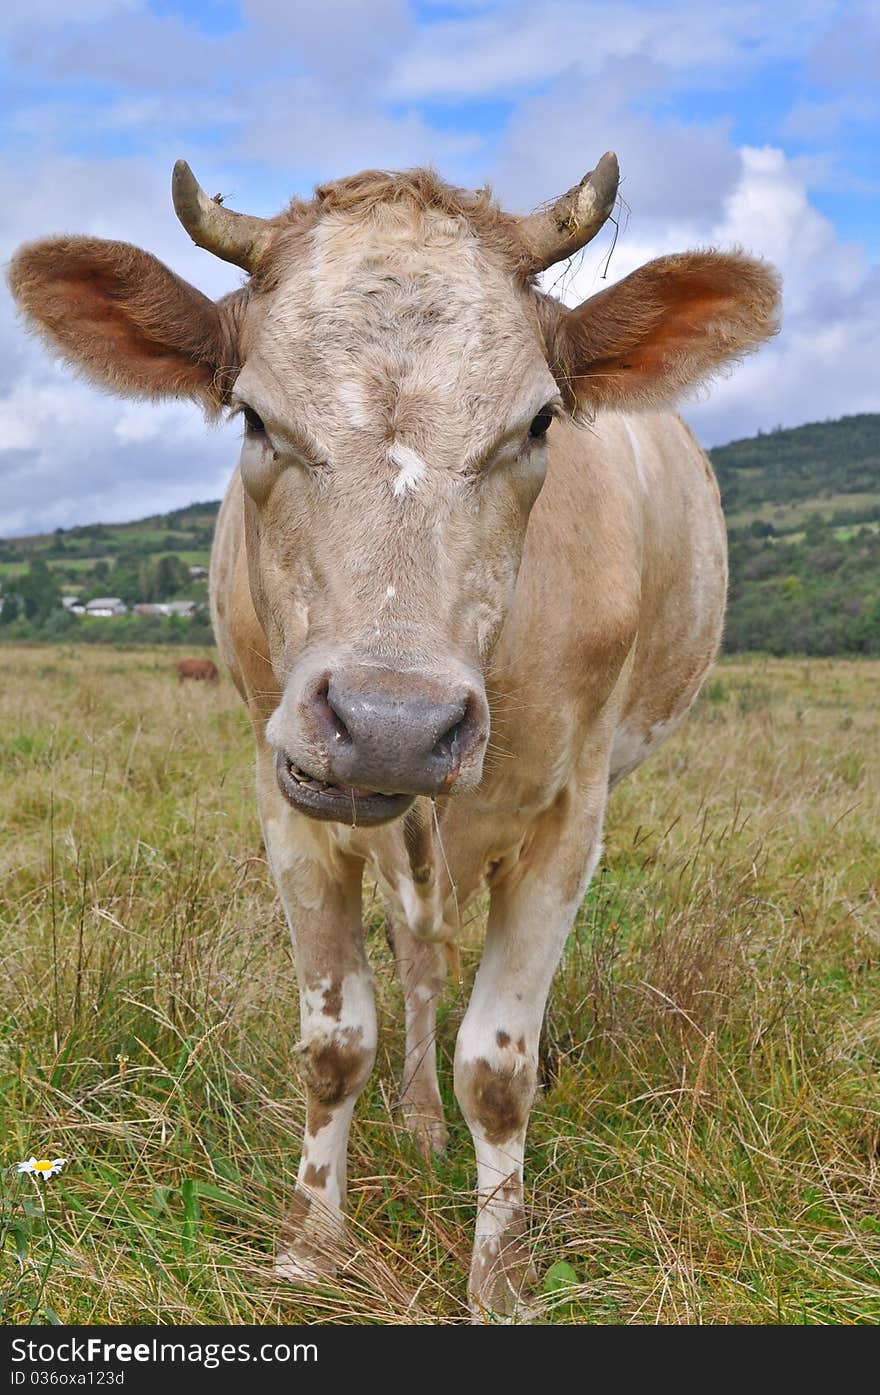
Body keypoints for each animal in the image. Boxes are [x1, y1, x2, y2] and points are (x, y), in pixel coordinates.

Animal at [6, 152, 775, 1316]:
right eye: (253, 418)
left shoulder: (572, 813)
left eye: (540, 424)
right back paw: (415, 1123)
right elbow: (335, 1042)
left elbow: (497, 1068)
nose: (392, 724)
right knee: (416, 956)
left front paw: (500, 1275)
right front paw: (308, 1247)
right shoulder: (284, 794)